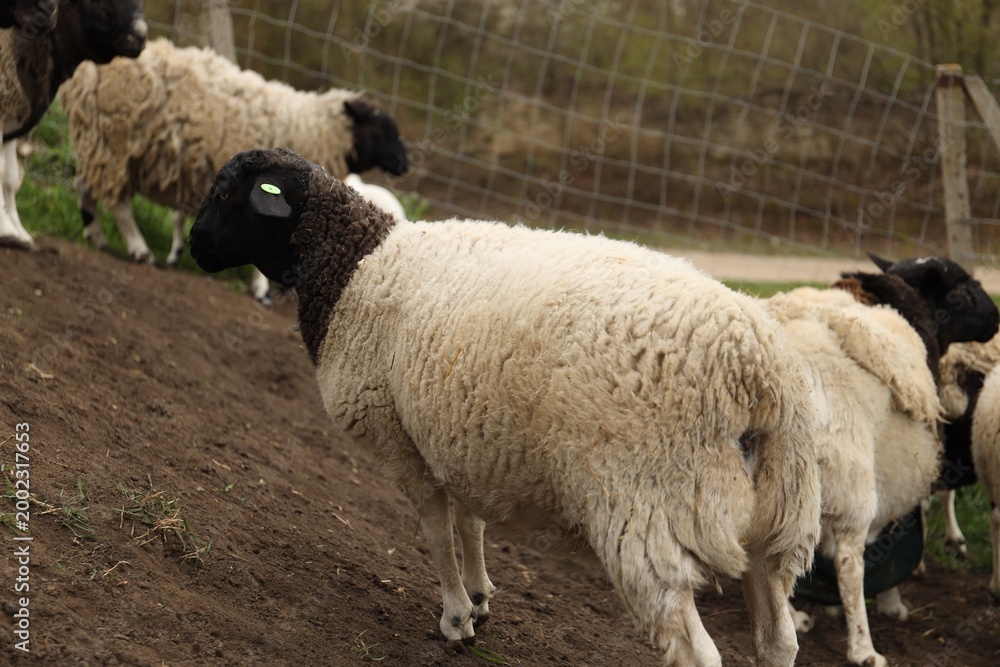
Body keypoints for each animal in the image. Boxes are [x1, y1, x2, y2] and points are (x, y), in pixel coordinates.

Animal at [0, 0, 147, 250]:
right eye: (102, 3)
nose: (140, 36)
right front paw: (7, 230)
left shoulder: (13, 118)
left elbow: (9, 177)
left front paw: (18, 233)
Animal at [59, 37, 409, 304]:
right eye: (380, 129)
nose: (406, 163)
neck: (314, 128)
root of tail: (85, 73)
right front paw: (261, 289)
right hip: (116, 144)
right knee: (118, 204)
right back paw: (139, 249)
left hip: (98, 144)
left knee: (84, 187)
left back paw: (96, 236)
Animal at [187, 147, 823, 667]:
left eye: (225, 194)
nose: (193, 246)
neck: (351, 267)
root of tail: (758, 372)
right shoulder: (463, 430)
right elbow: (471, 520)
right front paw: (480, 595)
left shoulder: (395, 434)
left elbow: (434, 527)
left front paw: (456, 618)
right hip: (778, 525)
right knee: (778, 641)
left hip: (648, 510)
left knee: (696, 652)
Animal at [762, 254, 999, 667]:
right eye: (966, 290)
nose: (999, 318)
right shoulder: (896, 463)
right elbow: (901, 531)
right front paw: (891, 601)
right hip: (850, 473)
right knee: (848, 562)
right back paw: (863, 648)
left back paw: (793, 616)